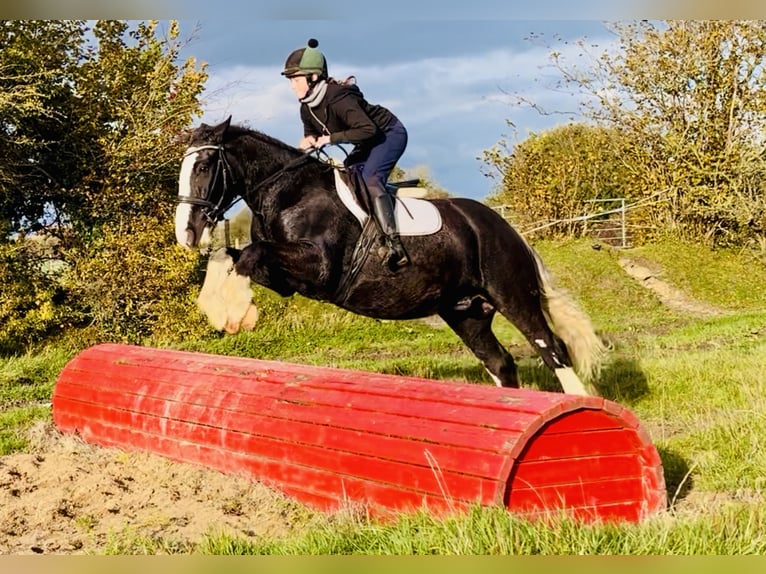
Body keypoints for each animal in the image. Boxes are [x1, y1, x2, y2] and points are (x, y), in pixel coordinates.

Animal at [174, 116, 606, 395]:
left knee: (553, 350)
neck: (288, 192)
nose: (187, 233)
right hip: (465, 311)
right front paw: (218, 308)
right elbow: (231, 255)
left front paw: (236, 313)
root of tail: (504, 227)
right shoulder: (286, 278)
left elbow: (250, 253)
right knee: (500, 363)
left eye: (206, 165)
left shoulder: (319, 268)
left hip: (513, 295)